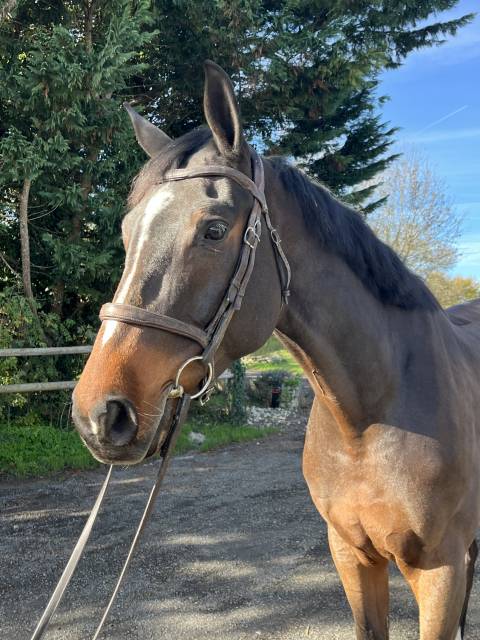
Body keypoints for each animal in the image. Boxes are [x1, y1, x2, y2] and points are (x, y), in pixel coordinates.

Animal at [72, 61, 480, 640]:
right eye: (128, 232)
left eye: (214, 229)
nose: (99, 414)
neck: (372, 417)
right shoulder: (352, 556)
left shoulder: (440, 571)